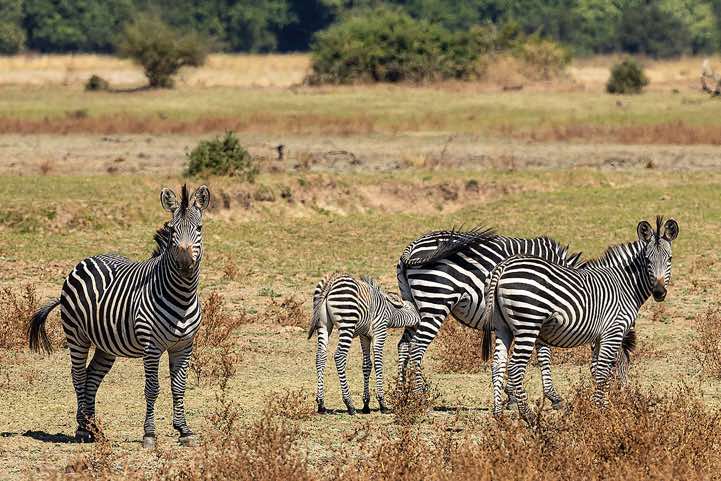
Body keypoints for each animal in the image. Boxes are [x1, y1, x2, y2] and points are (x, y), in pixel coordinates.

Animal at [27, 185, 210, 448]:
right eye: (172, 229)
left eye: (199, 228)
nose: (185, 263)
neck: (182, 297)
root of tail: (87, 259)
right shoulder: (151, 346)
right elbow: (152, 388)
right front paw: (149, 434)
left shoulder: (184, 346)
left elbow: (178, 387)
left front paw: (184, 430)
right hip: (76, 336)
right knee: (78, 376)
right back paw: (82, 429)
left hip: (106, 344)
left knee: (92, 377)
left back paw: (93, 428)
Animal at [307, 273, 420, 415]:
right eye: (414, 309)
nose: (421, 321)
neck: (391, 311)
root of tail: (332, 281)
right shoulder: (380, 332)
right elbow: (378, 364)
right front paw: (382, 403)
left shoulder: (364, 336)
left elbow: (367, 365)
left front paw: (366, 404)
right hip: (347, 323)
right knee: (339, 356)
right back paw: (349, 404)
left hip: (323, 325)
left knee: (320, 357)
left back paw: (321, 404)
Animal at [396, 227, 582, 406]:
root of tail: (413, 246)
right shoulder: (535, 314)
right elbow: (543, 355)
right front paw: (552, 396)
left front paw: (511, 394)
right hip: (435, 303)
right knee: (417, 347)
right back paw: (421, 397)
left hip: (415, 307)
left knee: (404, 345)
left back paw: (401, 394)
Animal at [479, 217, 679, 424]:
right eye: (647, 260)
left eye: (670, 259)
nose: (659, 293)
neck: (624, 286)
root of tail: (504, 266)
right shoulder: (613, 331)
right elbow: (603, 370)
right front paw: (602, 410)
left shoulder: (600, 336)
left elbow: (597, 369)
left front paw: (601, 405)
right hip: (528, 325)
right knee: (515, 367)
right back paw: (529, 416)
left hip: (503, 327)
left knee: (498, 364)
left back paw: (498, 416)